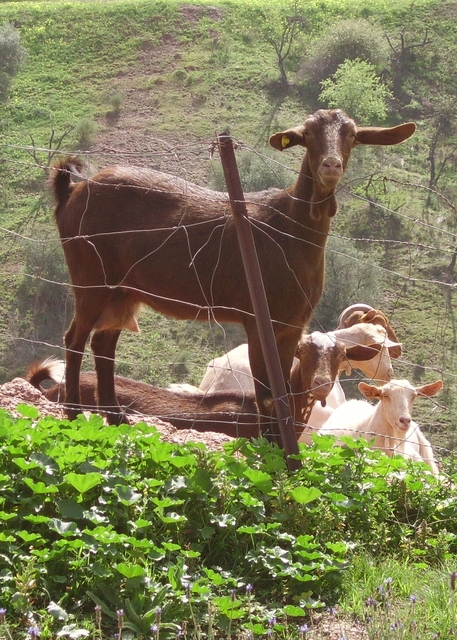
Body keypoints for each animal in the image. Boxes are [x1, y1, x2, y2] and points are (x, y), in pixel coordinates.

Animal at [49, 109, 414, 444]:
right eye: (308, 133)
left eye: (351, 135)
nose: (331, 166)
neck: (290, 229)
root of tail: (71, 192)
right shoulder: (257, 318)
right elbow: (266, 390)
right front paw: (271, 447)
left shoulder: (292, 324)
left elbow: (282, 387)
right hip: (90, 276)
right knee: (74, 338)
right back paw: (74, 413)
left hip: (123, 291)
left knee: (103, 343)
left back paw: (116, 418)